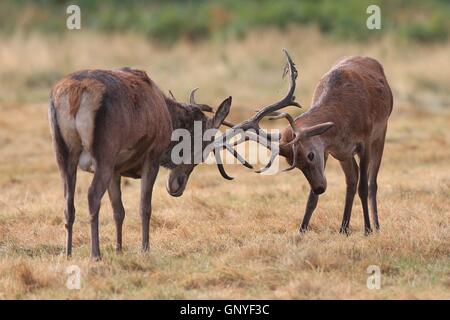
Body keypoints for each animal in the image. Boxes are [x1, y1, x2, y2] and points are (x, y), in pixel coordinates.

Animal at [48, 66, 246, 258]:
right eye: (202, 150)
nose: (177, 187)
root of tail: (75, 93)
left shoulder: (116, 170)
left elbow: (118, 210)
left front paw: (119, 250)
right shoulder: (152, 157)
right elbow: (145, 207)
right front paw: (144, 249)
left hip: (62, 153)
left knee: (68, 203)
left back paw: (68, 253)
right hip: (104, 153)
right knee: (92, 195)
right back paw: (95, 254)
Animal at [219, 50, 394, 235]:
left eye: (310, 155)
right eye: (293, 163)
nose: (320, 188)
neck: (343, 118)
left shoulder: (365, 140)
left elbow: (364, 188)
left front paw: (367, 230)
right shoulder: (328, 150)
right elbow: (312, 198)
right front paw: (301, 231)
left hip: (381, 133)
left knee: (372, 183)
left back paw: (376, 226)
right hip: (344, 154)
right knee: (352, 180)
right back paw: (343, 228)